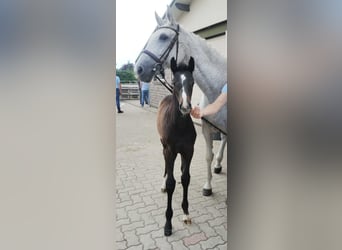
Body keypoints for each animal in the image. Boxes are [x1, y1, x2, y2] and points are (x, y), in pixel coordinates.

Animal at [134, 5, 227, 196]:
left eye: (163, 36)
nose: (138, 69)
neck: (218, 88)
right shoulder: (206, 128)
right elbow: (208, 156)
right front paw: (208, 186)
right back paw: (218, 165)